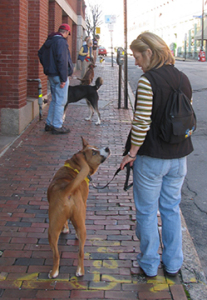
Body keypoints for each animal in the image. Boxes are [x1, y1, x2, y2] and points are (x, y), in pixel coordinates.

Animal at [46, 137, 110, 278]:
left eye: (96, 146)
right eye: (94, 152)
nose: (107, 148)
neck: (75, 167)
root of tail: (66, 190)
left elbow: (65, 222)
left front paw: (65, 229)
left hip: (52, 229)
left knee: (56, 254)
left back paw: (54, 272)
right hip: (81, 224)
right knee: (80, 252)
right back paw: (80, 271)